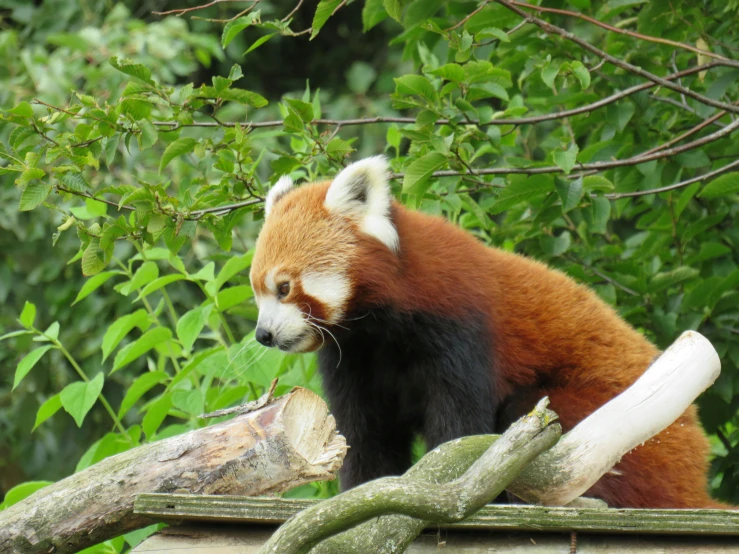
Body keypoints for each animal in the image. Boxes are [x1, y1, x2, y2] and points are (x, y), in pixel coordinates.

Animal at [251, 153, 724, 506]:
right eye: (257, 291)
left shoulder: (459, 329)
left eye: (284, 287)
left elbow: (459, 424)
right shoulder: (355, 357)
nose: (263, 336)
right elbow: (366, 432)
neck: (381, 328)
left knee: (532, 413)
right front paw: (363, 488)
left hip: (629, 433)